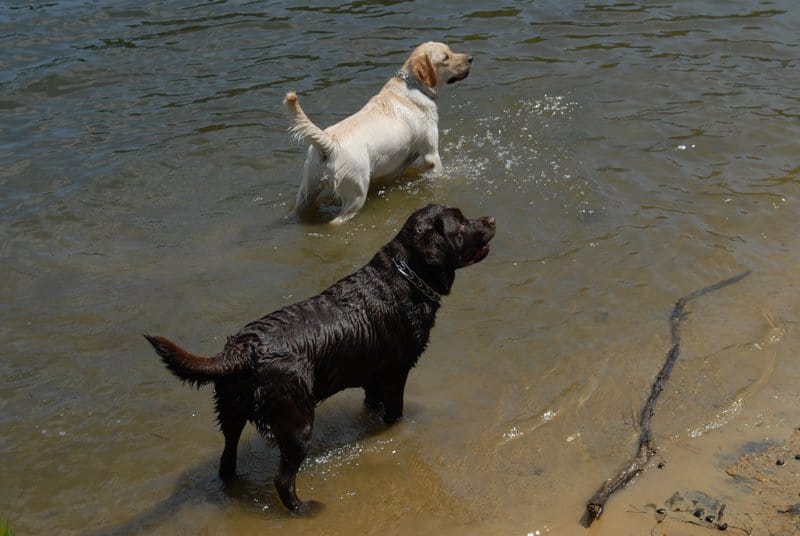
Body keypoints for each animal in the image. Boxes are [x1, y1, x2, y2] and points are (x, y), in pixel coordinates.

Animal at [284, 41, 472, 222]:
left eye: (451, 50)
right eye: (446, 58)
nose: (470, 58)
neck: (413, 86)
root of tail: (329, 144)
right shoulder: (431, 154)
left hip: (308, 188)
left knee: (299, 208)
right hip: (356, 193)